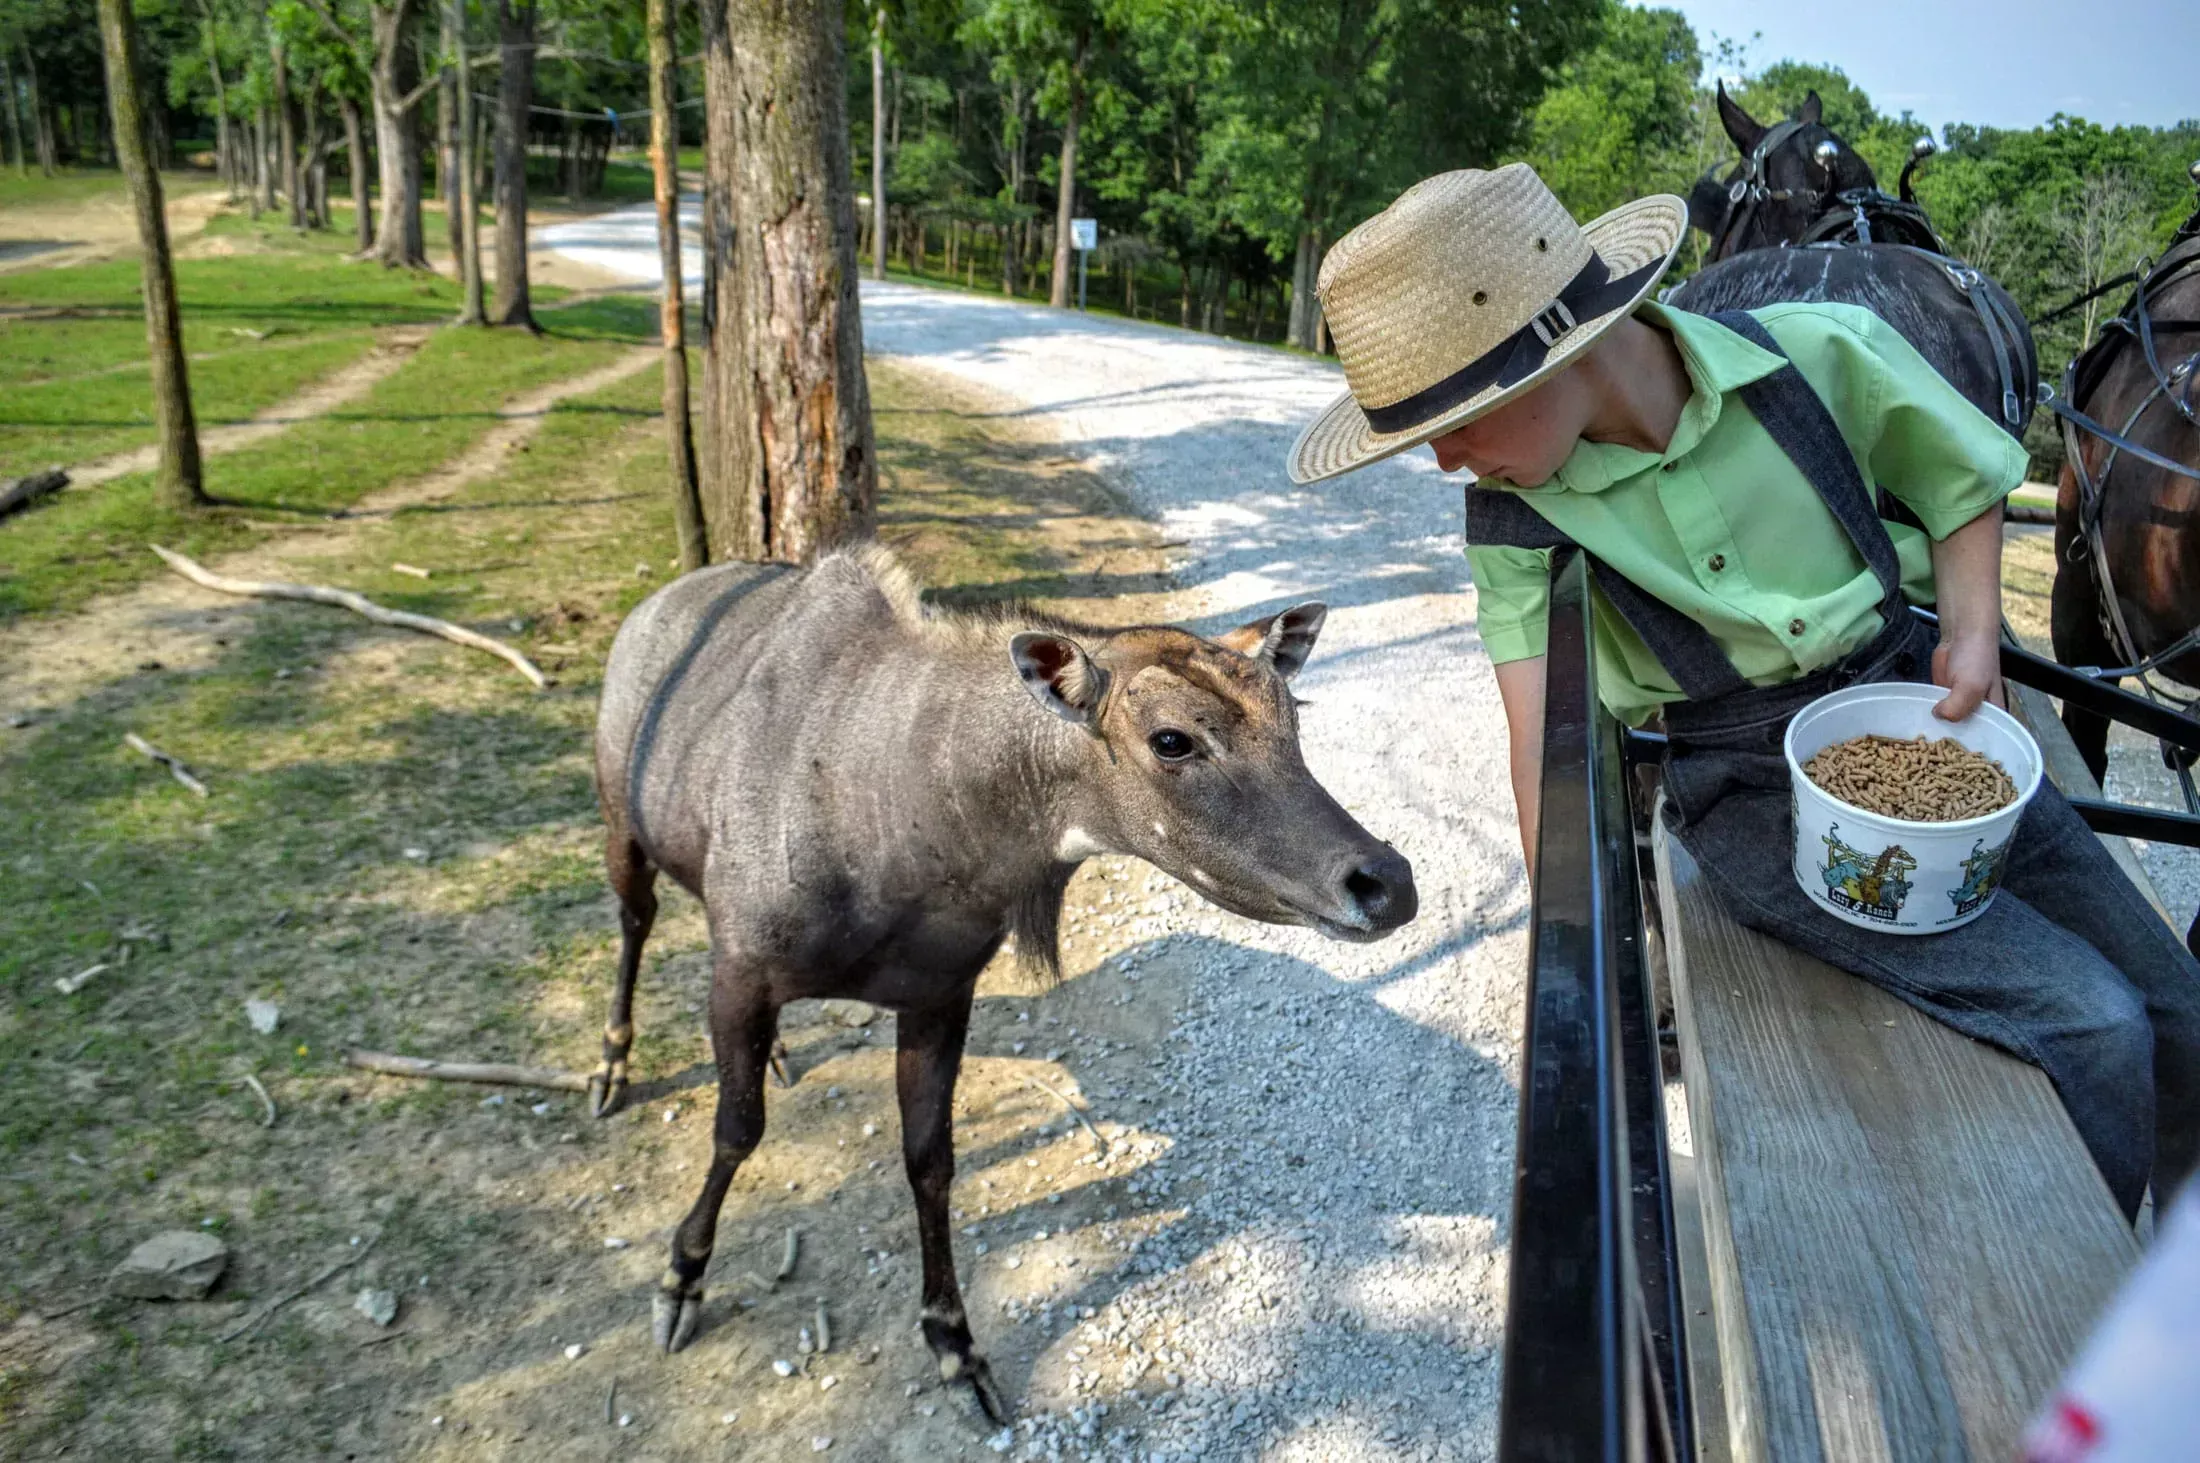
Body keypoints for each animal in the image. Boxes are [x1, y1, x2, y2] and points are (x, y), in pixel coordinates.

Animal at [589, 545, 1408, 1416]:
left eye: (1292, 717)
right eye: (1172, 738)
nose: (1389, 883)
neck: (900, 818)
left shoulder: (938, 994)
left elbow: (931, 1160)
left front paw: (956, 1344)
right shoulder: (742, 968)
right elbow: (737, 1131)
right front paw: (680, 1279)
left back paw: (774, 1054)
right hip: (621, 829)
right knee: (634, 922)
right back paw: (610, 1067)